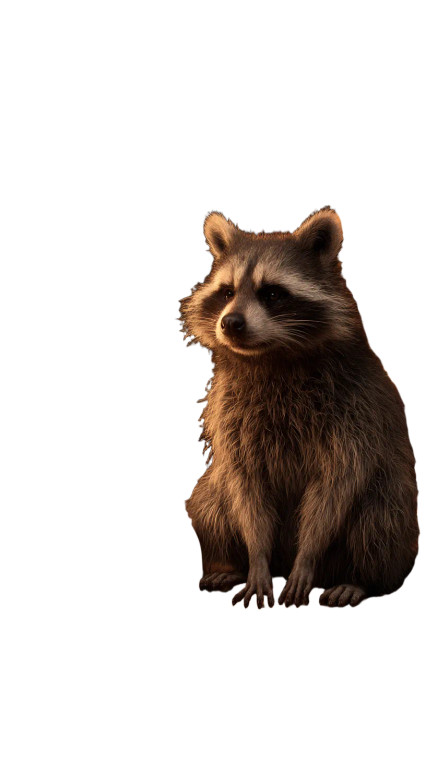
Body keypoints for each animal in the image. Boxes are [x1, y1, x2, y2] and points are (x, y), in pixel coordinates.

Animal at [179, 208, 418, 608]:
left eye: (273, 294)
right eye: (227, 292)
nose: (230, 323)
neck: (271, 359)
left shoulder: (354, 409)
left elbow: (337, 484)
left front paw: (307, 556)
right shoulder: (231, 414)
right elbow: (244, 486)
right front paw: (256, 557)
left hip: (396, 507)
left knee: (380, 514)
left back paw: (361, 579)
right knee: (210, 499)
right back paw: (228, 564)